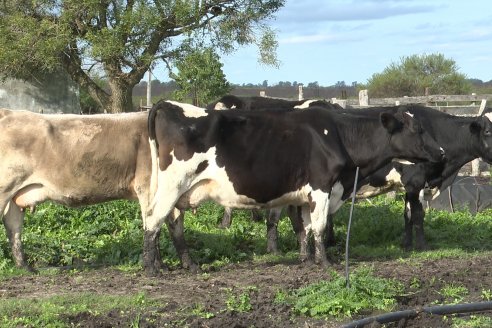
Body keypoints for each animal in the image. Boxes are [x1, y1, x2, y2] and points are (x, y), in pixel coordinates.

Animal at [0, 109, 190, 276]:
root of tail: (8, 112)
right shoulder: (147, 187)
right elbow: (155, 225)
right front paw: (158, 266)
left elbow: (173, 225)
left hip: (14, 196)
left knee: (13, 229)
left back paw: (25, 268)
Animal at [144, 100, 444, 274]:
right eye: (416, 130)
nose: (441, 152)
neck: (337, 134)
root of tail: (169, 105)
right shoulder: (322, 187)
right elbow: (319, 227)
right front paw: (325, 262)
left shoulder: (307, 194)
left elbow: (306, 228)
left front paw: (306, 260)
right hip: (173, 184)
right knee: (152, 218)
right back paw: (150, 268)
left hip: (179, 191)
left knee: (172, 222)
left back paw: (185, 264)